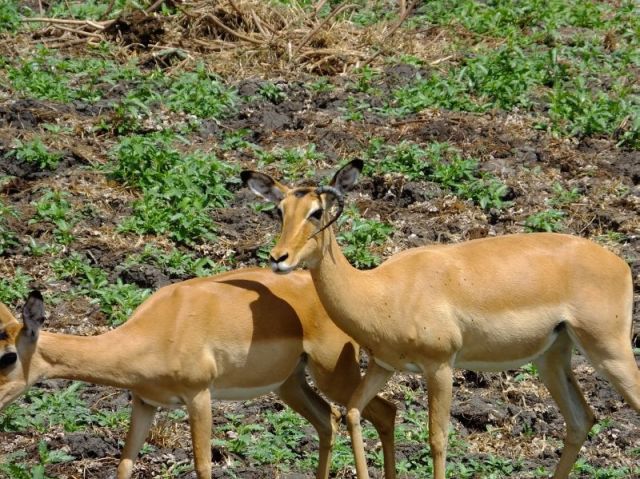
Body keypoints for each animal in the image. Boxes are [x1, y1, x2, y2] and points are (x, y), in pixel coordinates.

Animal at [0, 268, 397, 479]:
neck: (155, 331)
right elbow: (125, 464)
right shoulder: (145, 402)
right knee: (328, 420)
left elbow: (203, 466)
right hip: (289, 385)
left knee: (380, 410)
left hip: (333, 373)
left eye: (7, 357)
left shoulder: (199, 397)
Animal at [242, 159, 640, 479]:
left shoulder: (440, 366)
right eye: (280, 210)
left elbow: (437, 439)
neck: (382, 290)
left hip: (609, 350)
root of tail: (620, 264)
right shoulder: (383, 365)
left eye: (316, 212)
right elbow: (354, 411)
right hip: (552, 356)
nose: (279, 258)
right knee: (580, 420)